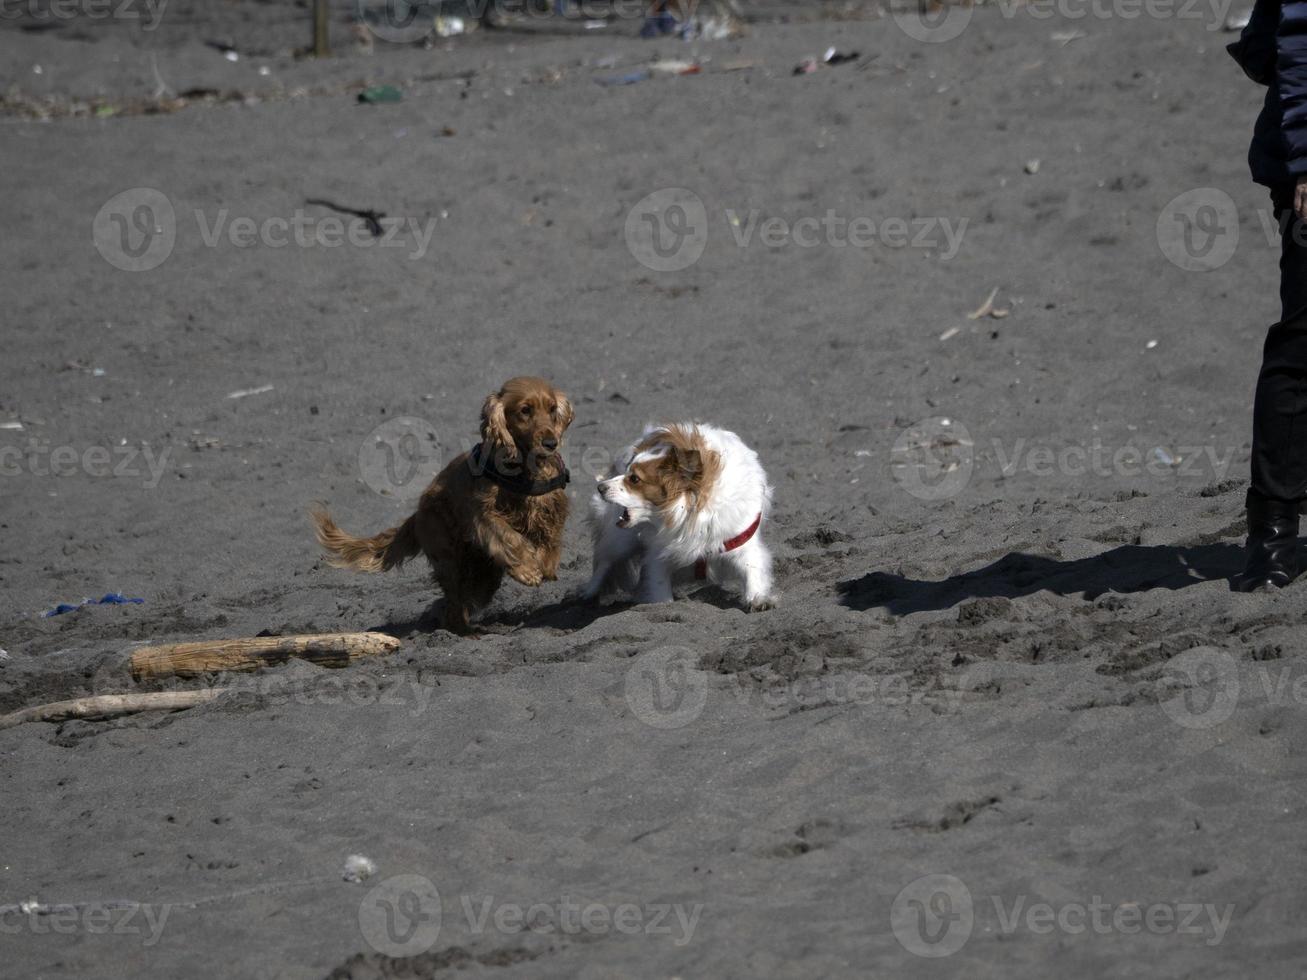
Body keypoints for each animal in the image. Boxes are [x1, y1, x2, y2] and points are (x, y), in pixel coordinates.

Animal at [582, 423, 773, 611]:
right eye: (628, 472)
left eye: (634, 479)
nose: (600, 487)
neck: (693, 512)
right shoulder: (658, 556)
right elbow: (661, 591)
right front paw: (663, 606)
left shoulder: (740, 541)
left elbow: (752, 569)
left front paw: (757, 598)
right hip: (621, 542)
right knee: (604, 562)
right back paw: (587, 593)